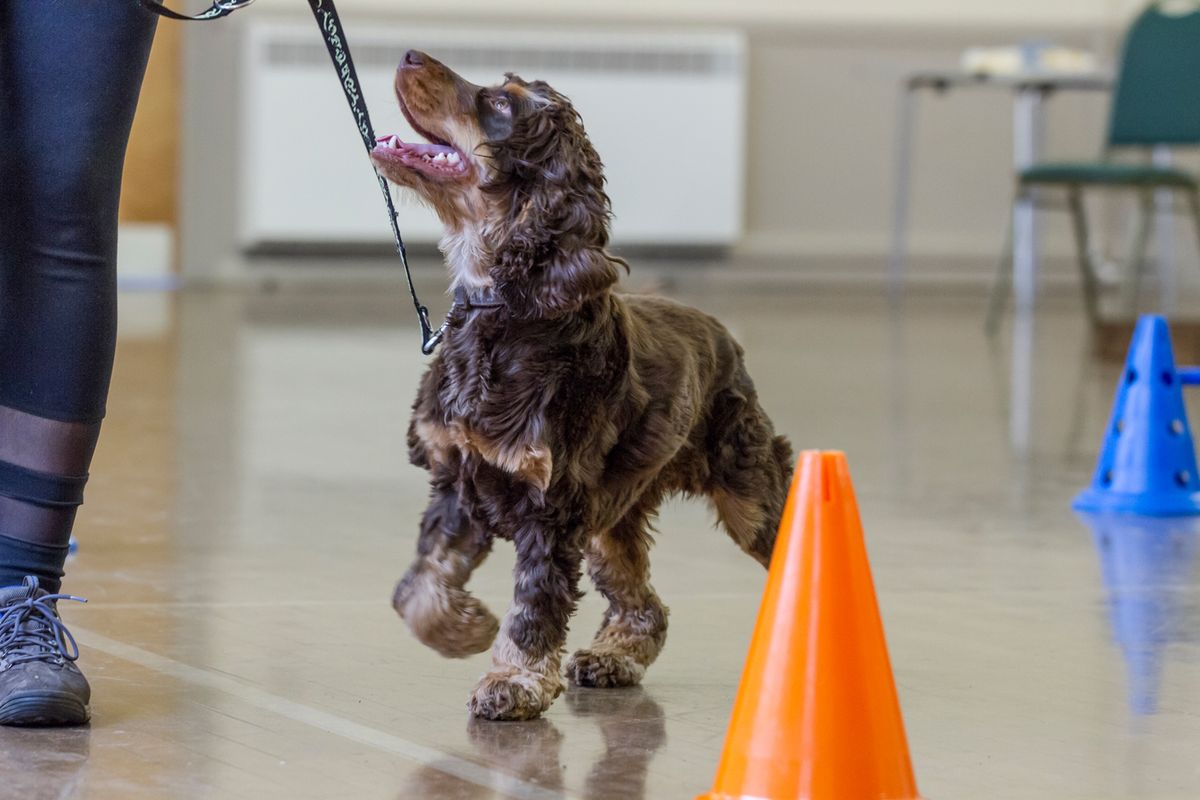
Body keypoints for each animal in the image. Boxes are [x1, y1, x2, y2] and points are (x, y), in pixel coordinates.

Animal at [369, 51, 792, 724]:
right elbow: (418, 585)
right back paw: (614, 658)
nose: (411, 54)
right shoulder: (458, 482)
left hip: (745, 488)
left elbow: (534, 606)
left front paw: (513, 682)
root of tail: (720, 330)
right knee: (645, 603)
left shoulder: (553, 508)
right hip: (612, 516)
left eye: (502, 104)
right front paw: (464, 628)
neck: (506, 309)